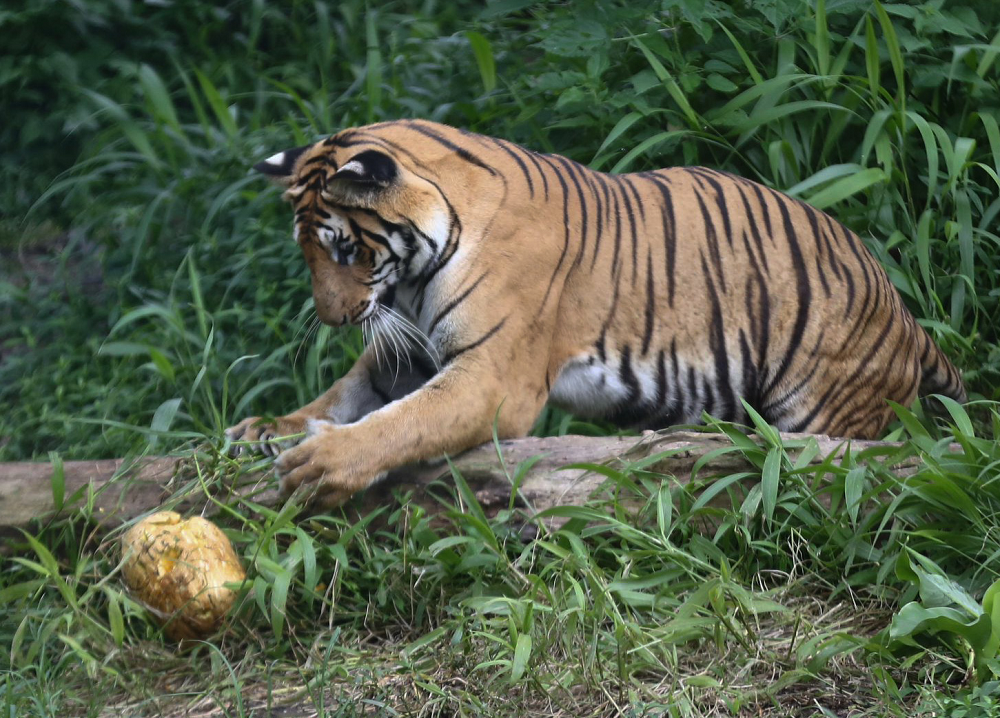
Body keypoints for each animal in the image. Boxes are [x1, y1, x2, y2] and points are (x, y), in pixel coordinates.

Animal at [229, 118, 968, 510]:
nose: (334, 318)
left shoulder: (492, 381)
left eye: (345, 248)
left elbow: (400, 422)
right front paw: (264, 430)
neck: (411, 274)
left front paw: (320, 465)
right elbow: (344, 394)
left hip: (822, 410)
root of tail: (908, 320)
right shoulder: (405, 348)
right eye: (306, 250)